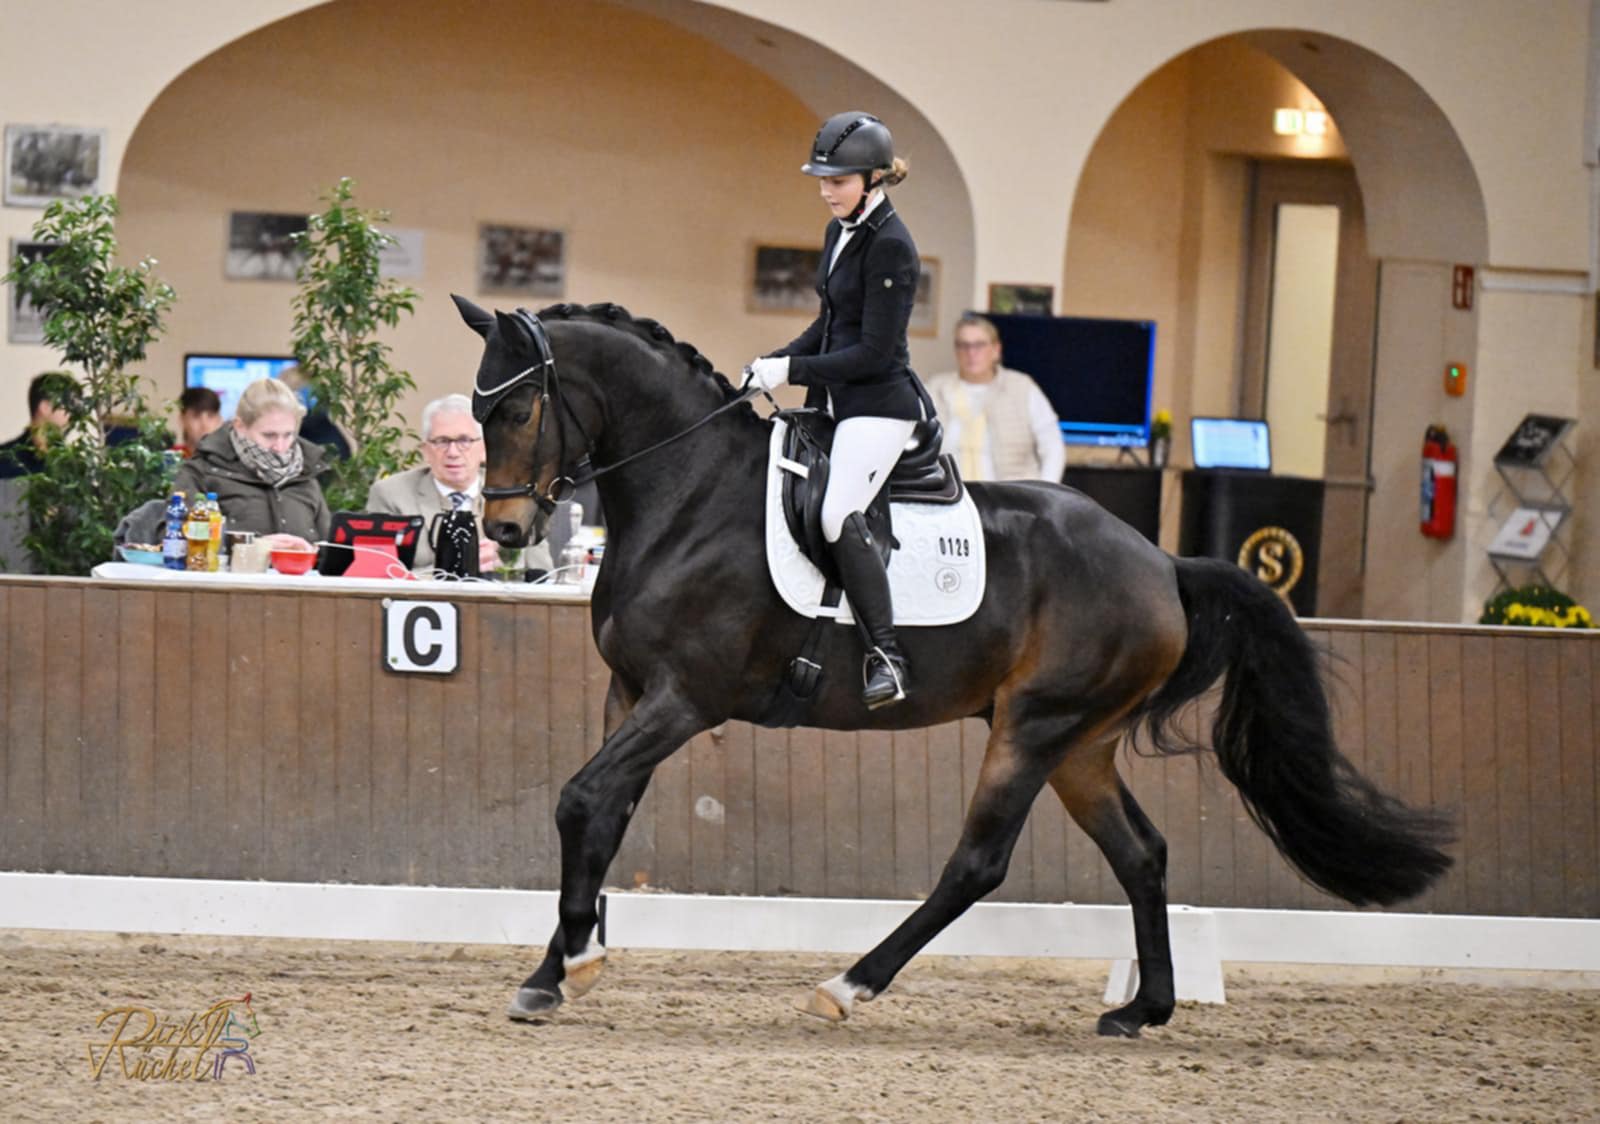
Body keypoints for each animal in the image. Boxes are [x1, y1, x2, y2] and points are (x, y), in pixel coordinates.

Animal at [453, 295, 1453, 1037]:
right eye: (475, 411)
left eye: (517, 407)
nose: (502, 528)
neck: (690, 494)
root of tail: (1161, 562)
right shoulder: (630, 691)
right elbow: (604, 814)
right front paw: (555, 968)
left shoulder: (686, 697)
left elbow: (581, 798)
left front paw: (572, 964)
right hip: (1079, 745)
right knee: (1142, 854)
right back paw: (1142, 1009)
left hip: (1035, 728)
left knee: (978, 863)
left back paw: (850, 985)